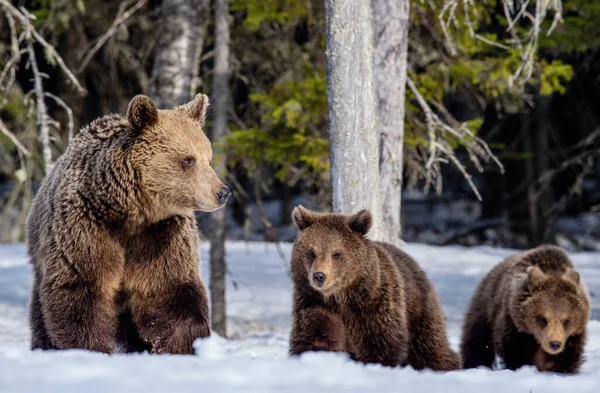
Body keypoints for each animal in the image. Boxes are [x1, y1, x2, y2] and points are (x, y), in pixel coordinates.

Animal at [25, 93, 230, 354]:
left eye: (209, 159)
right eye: (188, 160)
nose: (222, 193)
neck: (131, 213)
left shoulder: (160, 237)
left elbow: (169, 291)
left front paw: (183, 345)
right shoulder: (87, 228)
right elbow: (80, 290)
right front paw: (89, 347)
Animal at [288, 207, 460, 370]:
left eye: (336, 254)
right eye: (312, 252)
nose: (319, 276)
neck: (341, 296)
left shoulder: (375, 306)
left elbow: (381, 343)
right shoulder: (315, 305)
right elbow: (315, 338)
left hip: (420, 311)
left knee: (431, 349)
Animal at [462, 243, 588, 372]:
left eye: (566, 320)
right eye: (543, 319)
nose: (555, 344)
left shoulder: (573, 336)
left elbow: (567, 358)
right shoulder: (513, 324)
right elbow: (514, 350)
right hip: (486, 306)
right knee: (477, 341)